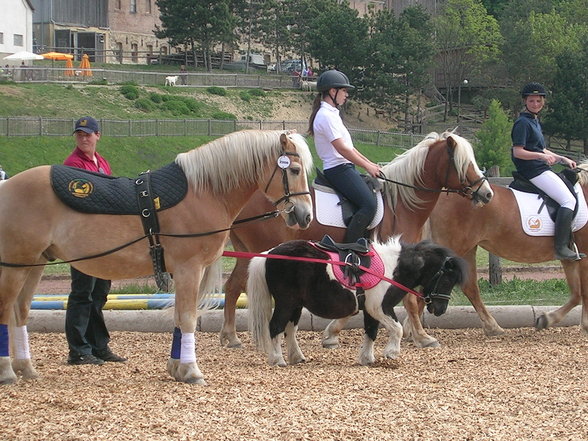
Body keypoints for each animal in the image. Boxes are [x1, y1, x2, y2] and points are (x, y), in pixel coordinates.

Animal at [0, 129, 316, 384]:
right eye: (294, 169)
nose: (305, 216)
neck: (203, 193)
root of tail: (6, 186)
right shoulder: (189, 269)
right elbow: (187, 318)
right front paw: (191, 371)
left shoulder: (182, 271)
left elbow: (178, 318)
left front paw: (176, 368)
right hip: (16, 266)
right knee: (6, 311)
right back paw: (7, 372)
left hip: (34, 264)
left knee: (20, 312)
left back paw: (26, 368)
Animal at [219, 131, 492, 348]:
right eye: (465, 163)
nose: (487, 193)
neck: (401, 203)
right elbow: (409, 299)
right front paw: (423, 337)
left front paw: (332, 333)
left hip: (247, 253)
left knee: (232, 286)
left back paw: (230, 337)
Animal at [248, 235, 468, 366]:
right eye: (447, 279)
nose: (440, 309)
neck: (393, 268)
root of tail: (268, 254)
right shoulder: (380, 307)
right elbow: (397, 328)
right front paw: (391, 353)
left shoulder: (371, 310)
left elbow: (371, 332)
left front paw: (367, 359)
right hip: (286, 302)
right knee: (275, 327)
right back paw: (277, 359)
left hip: (296, 305)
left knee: (290, 329)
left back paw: (297, 357)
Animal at [424, 162, 588, 336]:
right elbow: (584, 292)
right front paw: (584, 325)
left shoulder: (570, 258)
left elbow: (577, 294)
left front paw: (546, 319)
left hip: (468, 250)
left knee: (470, 287)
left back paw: (492, 327)